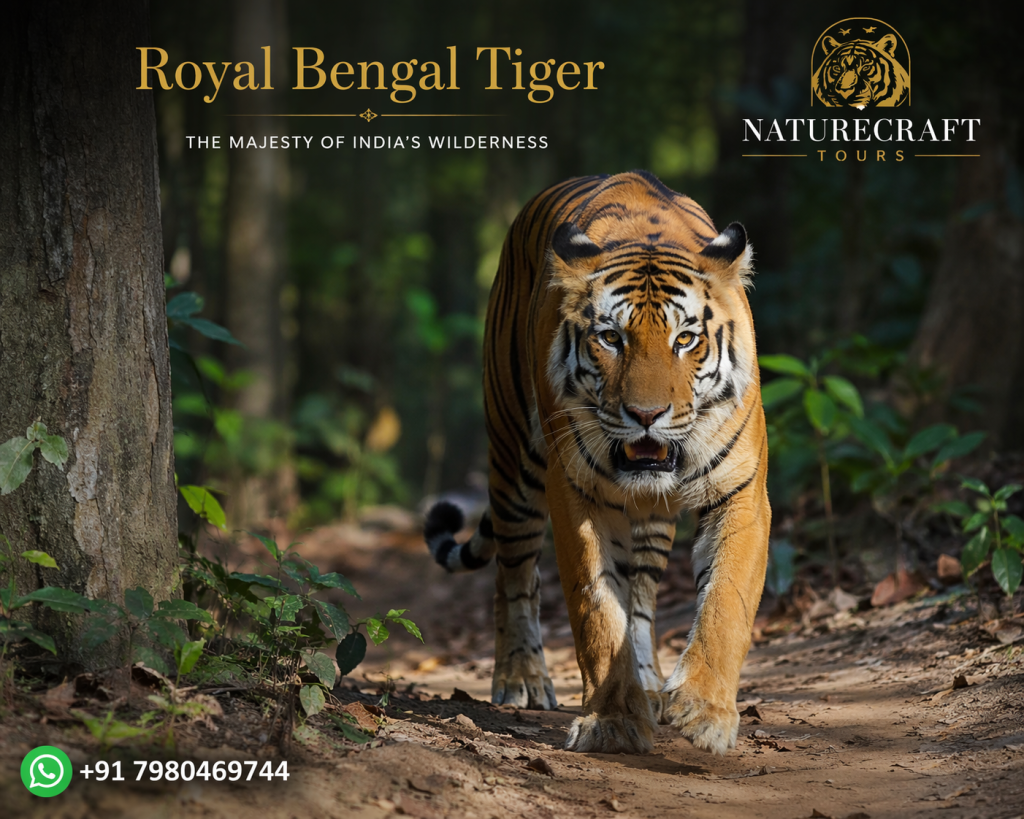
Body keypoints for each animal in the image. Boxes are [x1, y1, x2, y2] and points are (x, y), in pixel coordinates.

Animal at [424, 171, 770, 756]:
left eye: (685, 339)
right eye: (611, 337)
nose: (646, 415)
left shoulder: (741, 493)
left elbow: (726, 602)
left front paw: (704, 712)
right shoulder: (574, 496)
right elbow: (597, 610)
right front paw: (612, 722)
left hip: (650, 526)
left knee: (641, 597)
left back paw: (650, 682)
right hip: (516, 465)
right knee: (515, 578)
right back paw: (521, 678)